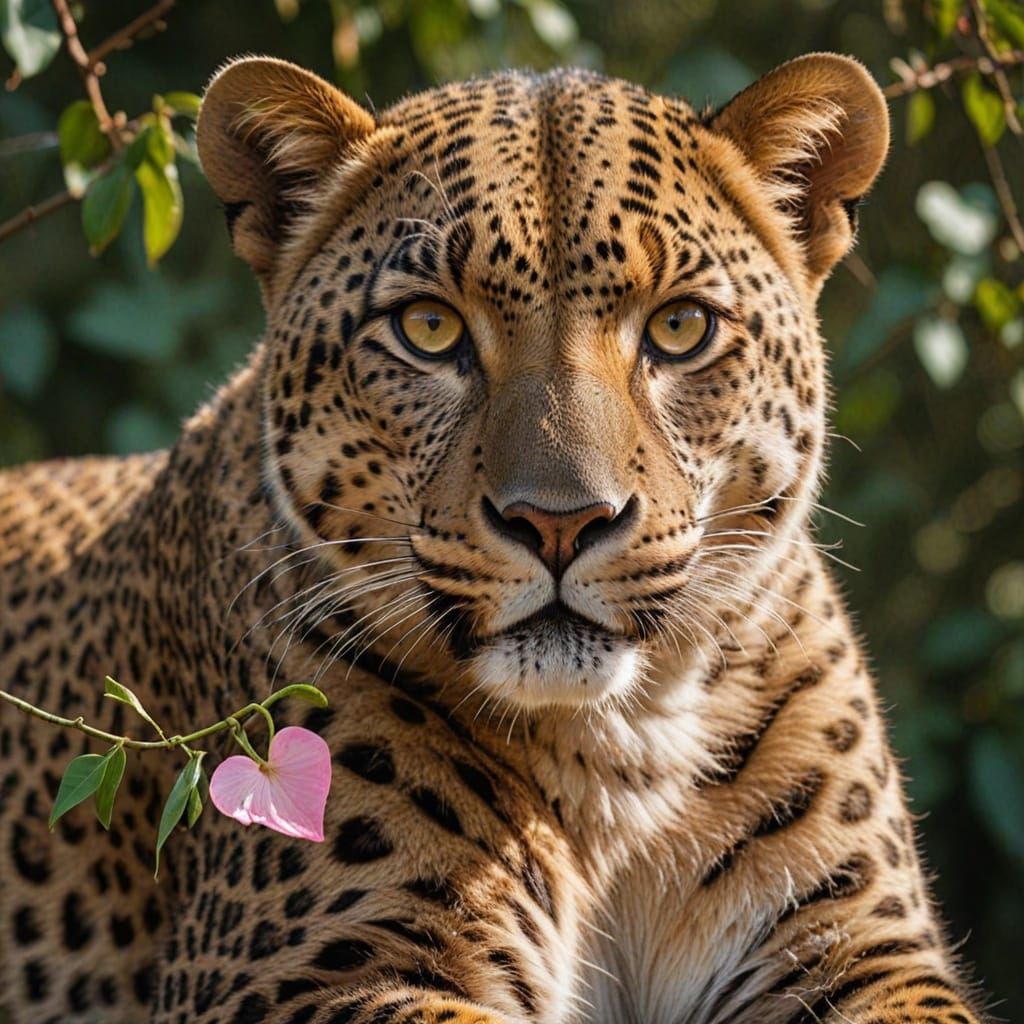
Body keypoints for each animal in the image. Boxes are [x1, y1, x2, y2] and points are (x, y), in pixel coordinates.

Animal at [0, 52, 992, 1024]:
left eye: (680, 327)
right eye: (428, 327)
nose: (560, 522)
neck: (623, 758)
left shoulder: (860, 946)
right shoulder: (303, 970)